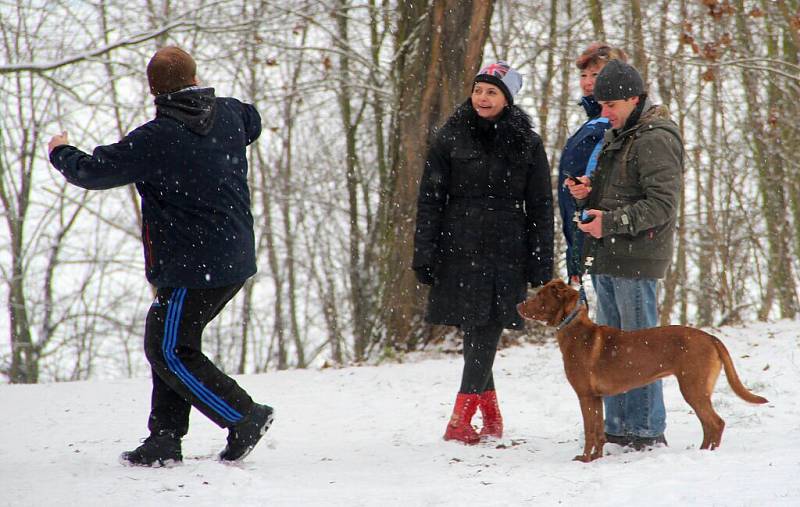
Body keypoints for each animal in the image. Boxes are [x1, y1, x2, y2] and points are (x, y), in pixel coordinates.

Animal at [520, 280, 768, 462]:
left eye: (540, 296)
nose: (517, 306)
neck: (574, 331)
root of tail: (711, 337)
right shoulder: (596, 397)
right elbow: (599, 432)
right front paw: (597, 458)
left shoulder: (585, 395)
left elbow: (590, 431)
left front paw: (585, 459)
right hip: (697, 389)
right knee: (708, 424)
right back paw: (702, 450)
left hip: (693, 387)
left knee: (716, 423)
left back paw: (707, 455)